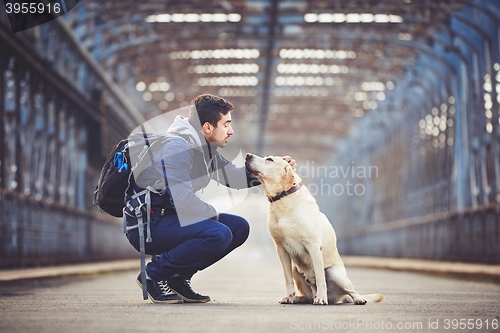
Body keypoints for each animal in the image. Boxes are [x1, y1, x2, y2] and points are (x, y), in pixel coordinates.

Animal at [245, 152, 382, 304]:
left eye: (269, 159)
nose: (248, 155)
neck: (283, 199)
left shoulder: (314, 246)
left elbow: (320, 277)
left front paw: (321, 298)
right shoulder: (281, 249)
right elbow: (287, 279)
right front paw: (288, 296)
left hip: (335, 274)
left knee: (350, 291)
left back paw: (356, 298)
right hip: (296, 270)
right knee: (308, 295)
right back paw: (298, 298)